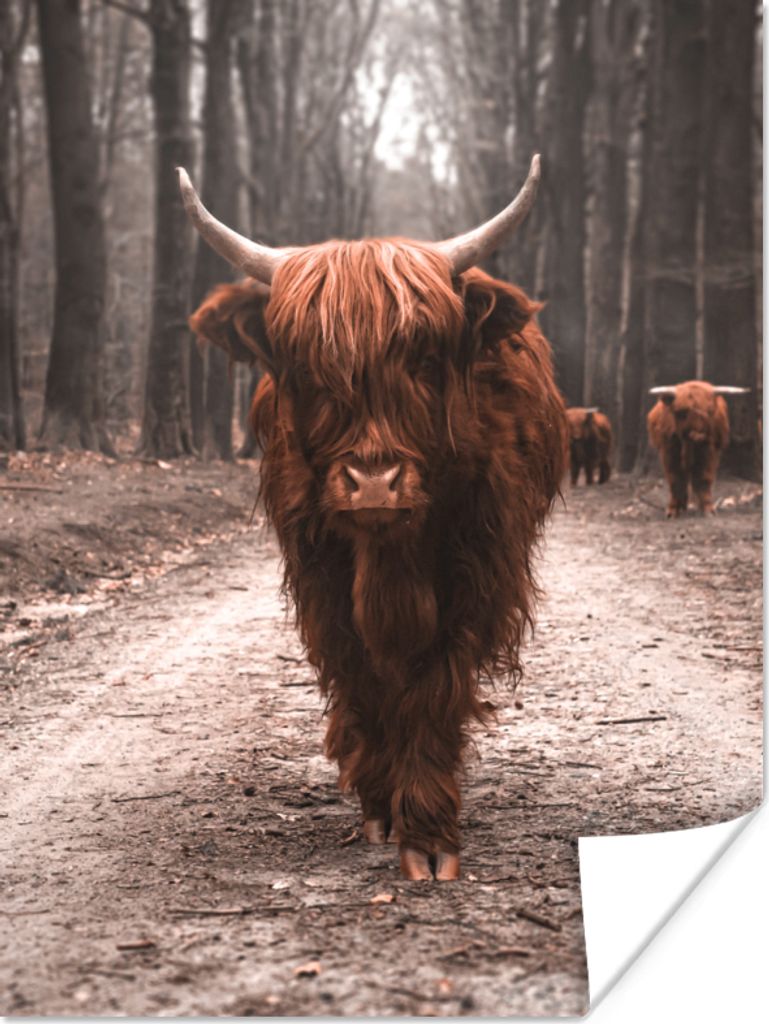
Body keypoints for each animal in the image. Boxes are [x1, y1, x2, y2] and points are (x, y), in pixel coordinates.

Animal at [181, 156, 569, 880]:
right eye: (307, 368)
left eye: (423, 358)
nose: (373, 484)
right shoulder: (321, 579)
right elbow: (362, 677)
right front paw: (381, 807)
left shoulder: (476, 572)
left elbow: (433, 685)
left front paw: (428, 833)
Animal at [647, 381, 749, 517]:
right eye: (681, 413)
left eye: (710, 412)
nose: (698, 435)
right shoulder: (669, 451)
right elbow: (675, 479)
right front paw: (673, 510)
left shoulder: (708, 452)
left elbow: (703, 478)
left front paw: (707, 509)